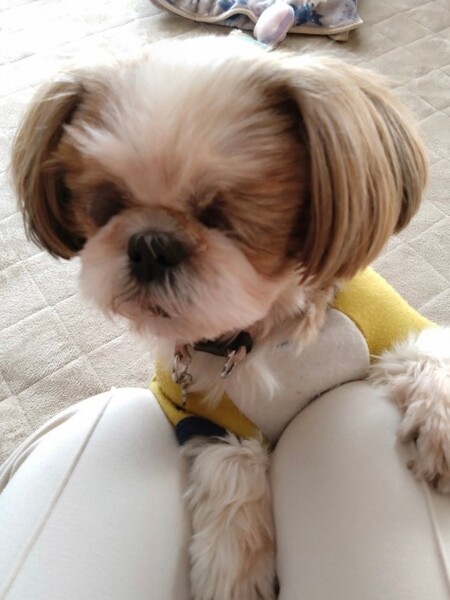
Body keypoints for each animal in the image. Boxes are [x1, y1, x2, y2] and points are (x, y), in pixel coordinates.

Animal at [12, 35, 450, 600]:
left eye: (223, 217)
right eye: (106, 206)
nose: (149, 245)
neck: (257, 334)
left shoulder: (389, 326)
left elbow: (428, 354)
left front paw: (441, 427)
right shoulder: (208, 419)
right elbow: (234, 478)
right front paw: (234, 575)